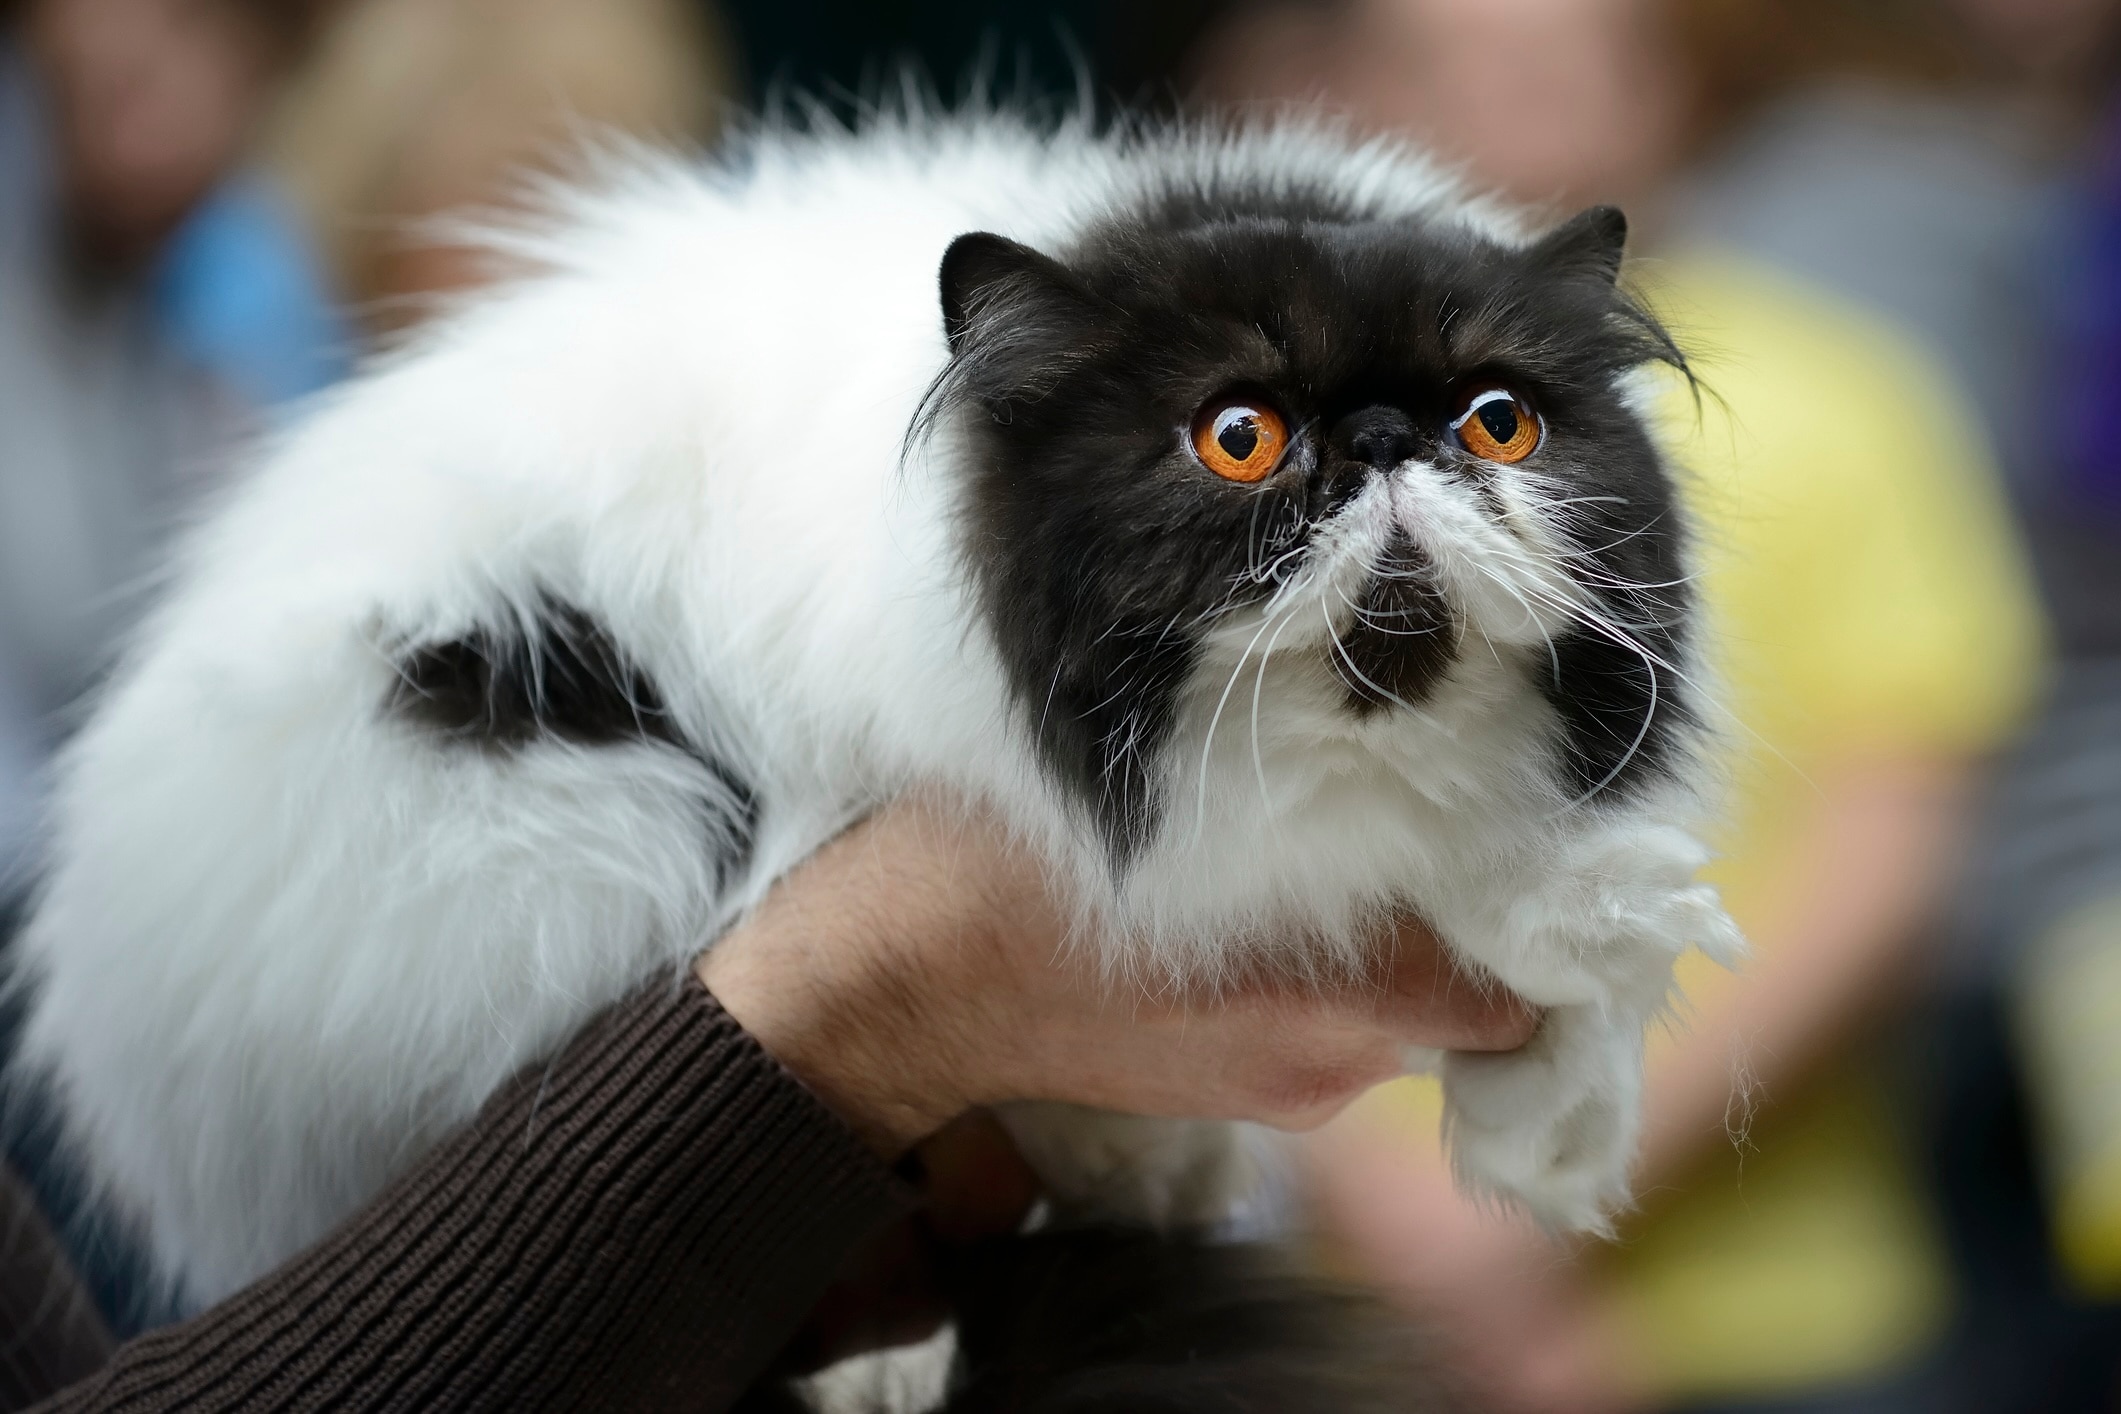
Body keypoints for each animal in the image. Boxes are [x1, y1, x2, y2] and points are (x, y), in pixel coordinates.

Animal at [16, 116, 1739, 1314]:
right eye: (1239, 436)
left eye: (1498, 422)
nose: (1389, 442)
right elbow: (1477, 901)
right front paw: (1583, 957)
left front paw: (1555, 1136)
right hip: (583, 829)